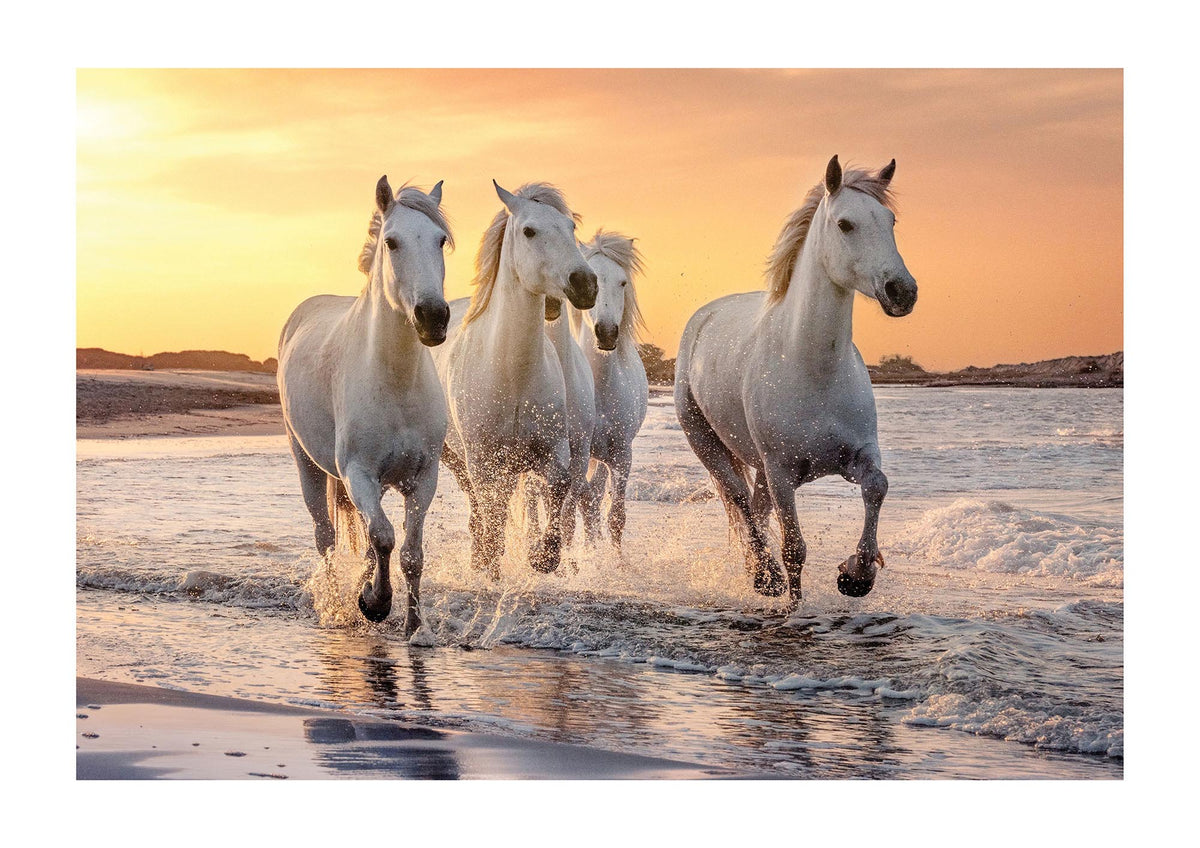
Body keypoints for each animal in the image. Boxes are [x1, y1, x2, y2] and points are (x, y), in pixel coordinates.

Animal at [277, 176, 452, 635]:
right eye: (391, 242)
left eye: (440, 240)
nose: (433, 316)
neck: (395, 382)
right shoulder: (358, 473)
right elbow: (385, 538)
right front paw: (375, 603)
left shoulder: (423, 478)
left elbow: (409, 553)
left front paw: (414, 626)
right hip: (307, 463)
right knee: (326, 537)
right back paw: (339, 606)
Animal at [433, 181, 597, 578]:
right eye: (529, 231)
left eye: (571, 228)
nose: (585, 284)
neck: (513, 375)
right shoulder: (482, 460)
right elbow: (491, 511)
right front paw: (491, 563)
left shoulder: (555, 450)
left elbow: (559, 487)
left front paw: (544, 556)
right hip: (456, 458)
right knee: (480, 508)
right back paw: (481, 559)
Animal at [566, 230, 649, 550]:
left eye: (623, 282)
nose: (607, 333)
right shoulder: (575, 454)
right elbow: (581, 507)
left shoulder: (621, 455)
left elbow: (615, 515)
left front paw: (612, 559)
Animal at [674, 155, 918, 605]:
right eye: (845, 224)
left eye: (890, 220)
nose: (902, 291)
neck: (813, 369)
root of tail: (704, 317)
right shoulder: (782, 472)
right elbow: (794, 549)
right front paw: (795, 602)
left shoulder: (857, 455)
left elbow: (877, 487)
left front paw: (856, 575)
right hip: (709, 444)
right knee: (741, 502)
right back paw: (765, 576)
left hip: (761, 468)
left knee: (755, 507)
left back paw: (757, 573)